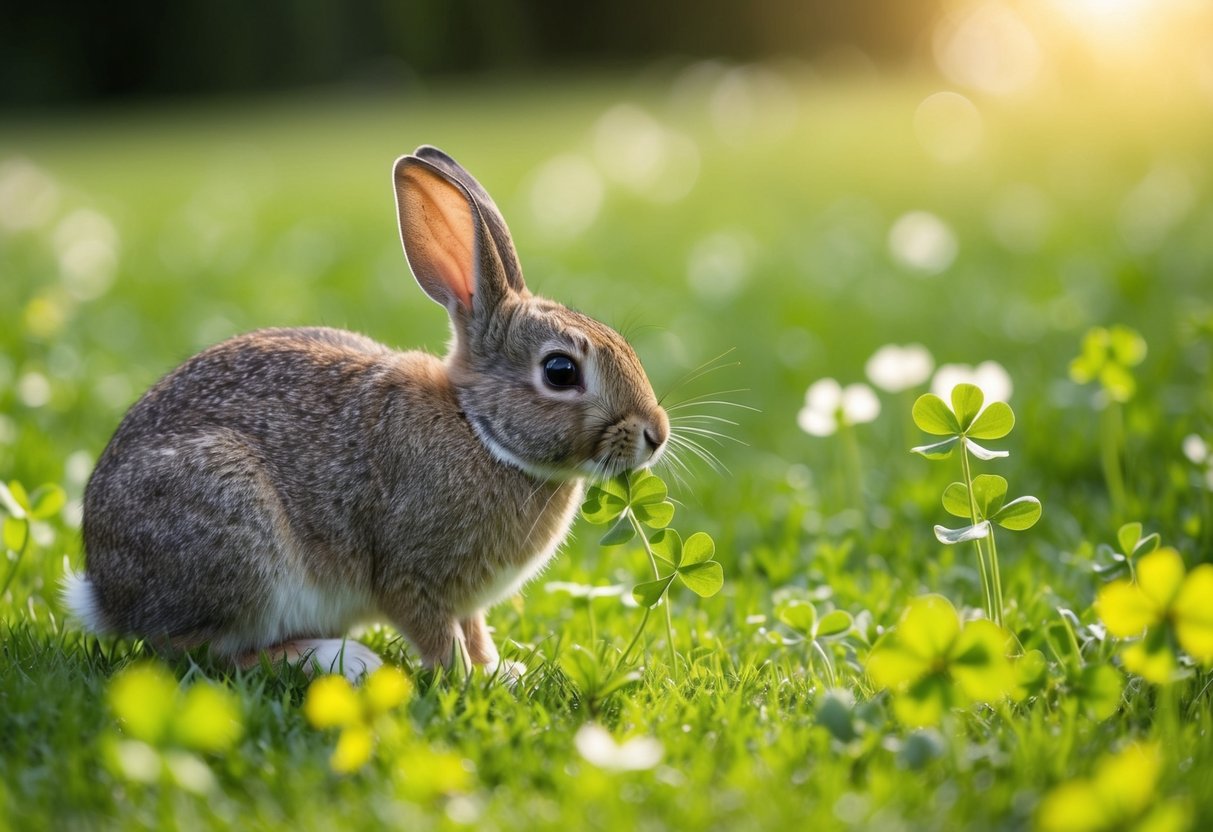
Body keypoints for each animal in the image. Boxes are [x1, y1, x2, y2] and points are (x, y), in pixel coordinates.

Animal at [62, 145, 670, 682]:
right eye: (560, 372)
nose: (656, 434)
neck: (478, 429)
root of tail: (106, 592)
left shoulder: (466, 599)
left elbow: (474, 630)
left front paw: (498, 671)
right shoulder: (409, 576)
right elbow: (437, 635)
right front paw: (467, 680)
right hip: (233, 535)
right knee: (197, 650)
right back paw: (339, 661)